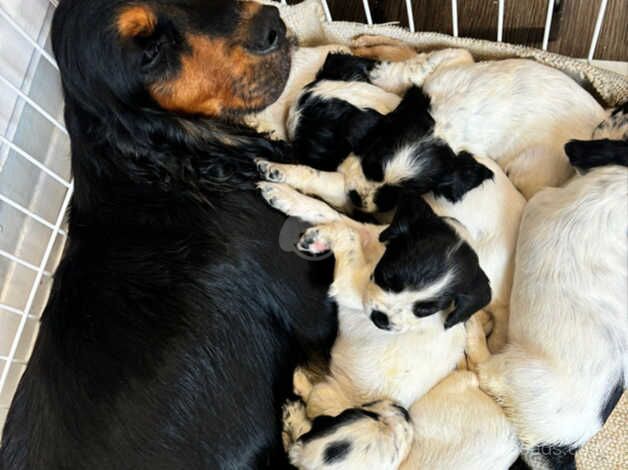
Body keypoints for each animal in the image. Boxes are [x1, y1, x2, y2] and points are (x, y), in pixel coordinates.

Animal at [258, 183, 494, 412]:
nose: (381, 320)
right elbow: (332, 214)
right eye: (388, 277)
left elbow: (347, 232)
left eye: (425, 310)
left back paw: (300, 386)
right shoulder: (372, 234)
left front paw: (322, 236)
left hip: (328, 395)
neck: (373, 257)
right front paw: (283, 194)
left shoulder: (351, 289)